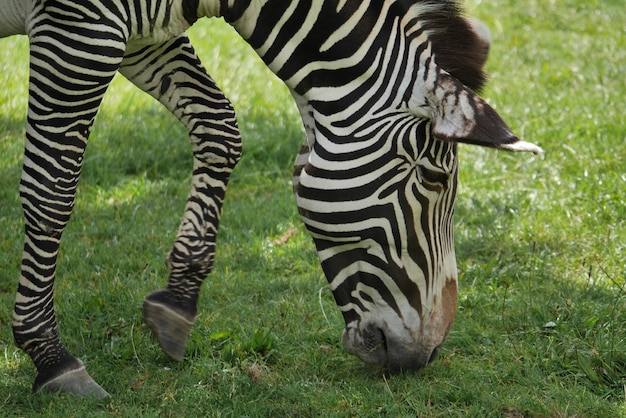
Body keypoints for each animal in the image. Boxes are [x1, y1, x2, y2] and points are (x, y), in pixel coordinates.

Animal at [0, 0, 540, 398]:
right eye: (432, 178)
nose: (429, 354)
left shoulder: (140, 33)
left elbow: (219, 125)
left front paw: (178, 302)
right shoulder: (80, 29)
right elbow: (52, 188)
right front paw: (50, 356)